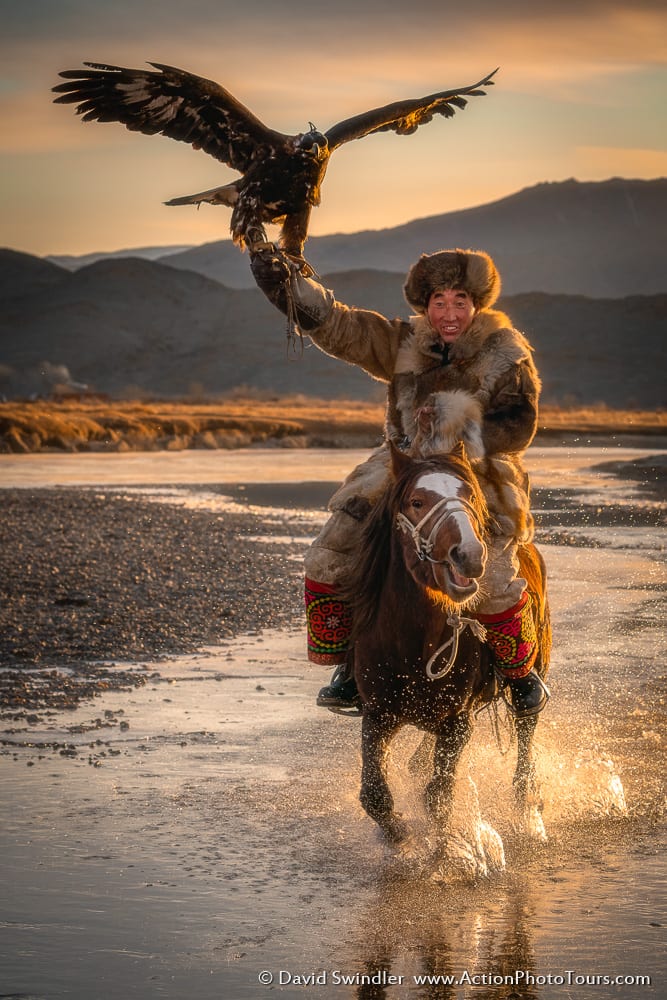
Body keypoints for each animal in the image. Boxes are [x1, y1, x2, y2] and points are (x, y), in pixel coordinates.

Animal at [344, 444, 552, 844]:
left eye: (471, 495)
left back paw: (526, 802)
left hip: (535, 669)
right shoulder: (378, 714)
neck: (413, 642)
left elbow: (438, 796)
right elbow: (374, 794)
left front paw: (446, 849)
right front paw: (399, 837)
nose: (468, 555)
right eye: (416, 501)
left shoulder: (457, 721)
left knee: (526, 727)